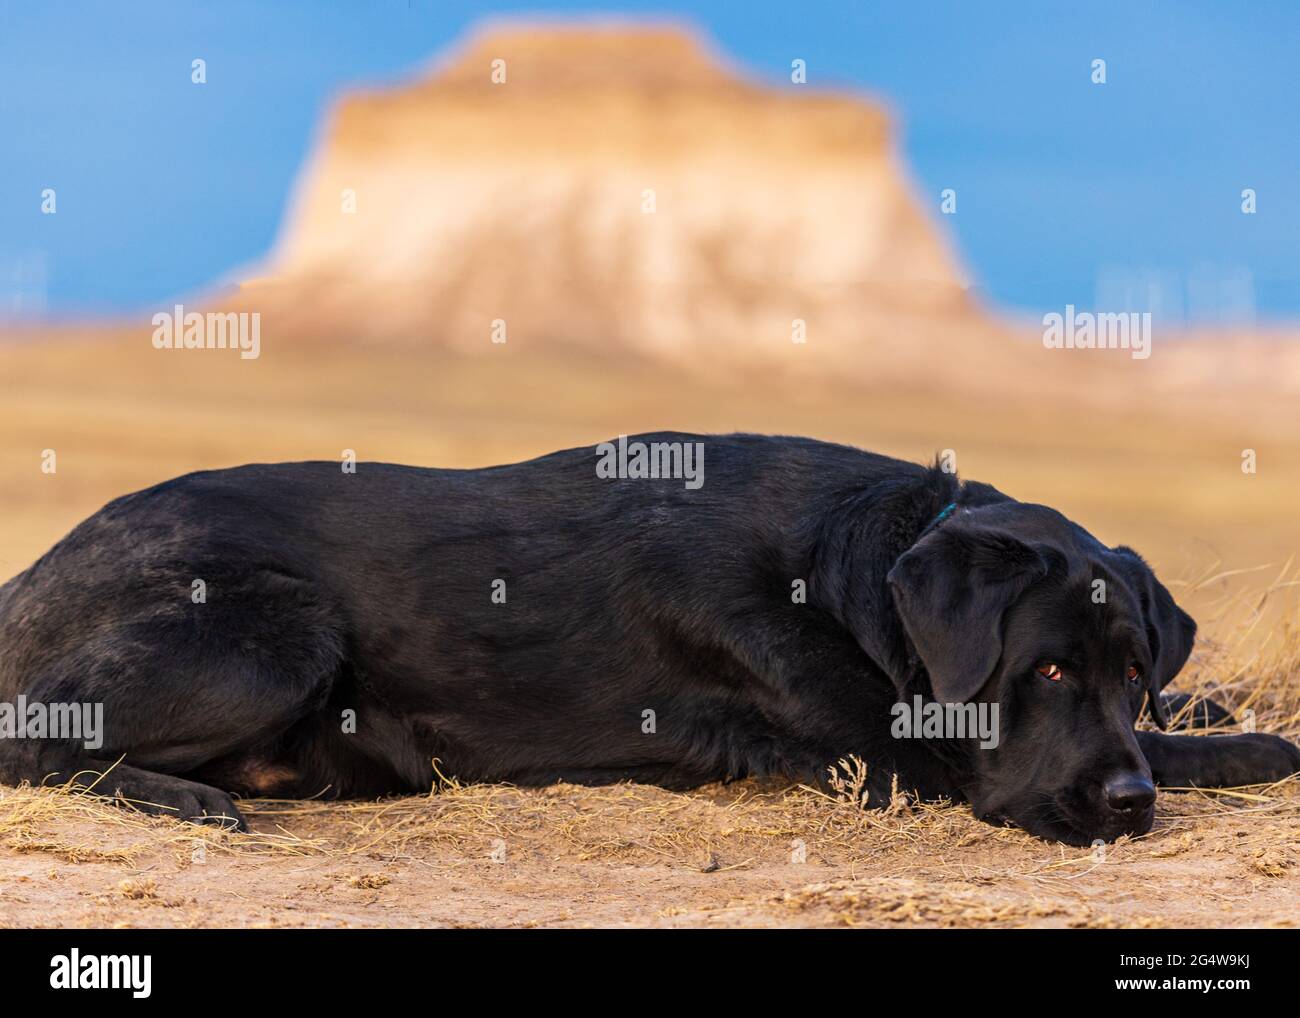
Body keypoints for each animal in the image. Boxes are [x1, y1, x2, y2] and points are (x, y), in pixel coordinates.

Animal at [0, 434, 1294, 847]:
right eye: (1046, 670)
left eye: (1132, 667)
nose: (1122, 806)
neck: (852, 577)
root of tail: (30, 574)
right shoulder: (892, 762)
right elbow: (1192, 748)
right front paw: (1257, 746)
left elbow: (1183, 718)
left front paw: (1216, 707)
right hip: (276, 632)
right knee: (36, 739)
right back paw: (191, 798)